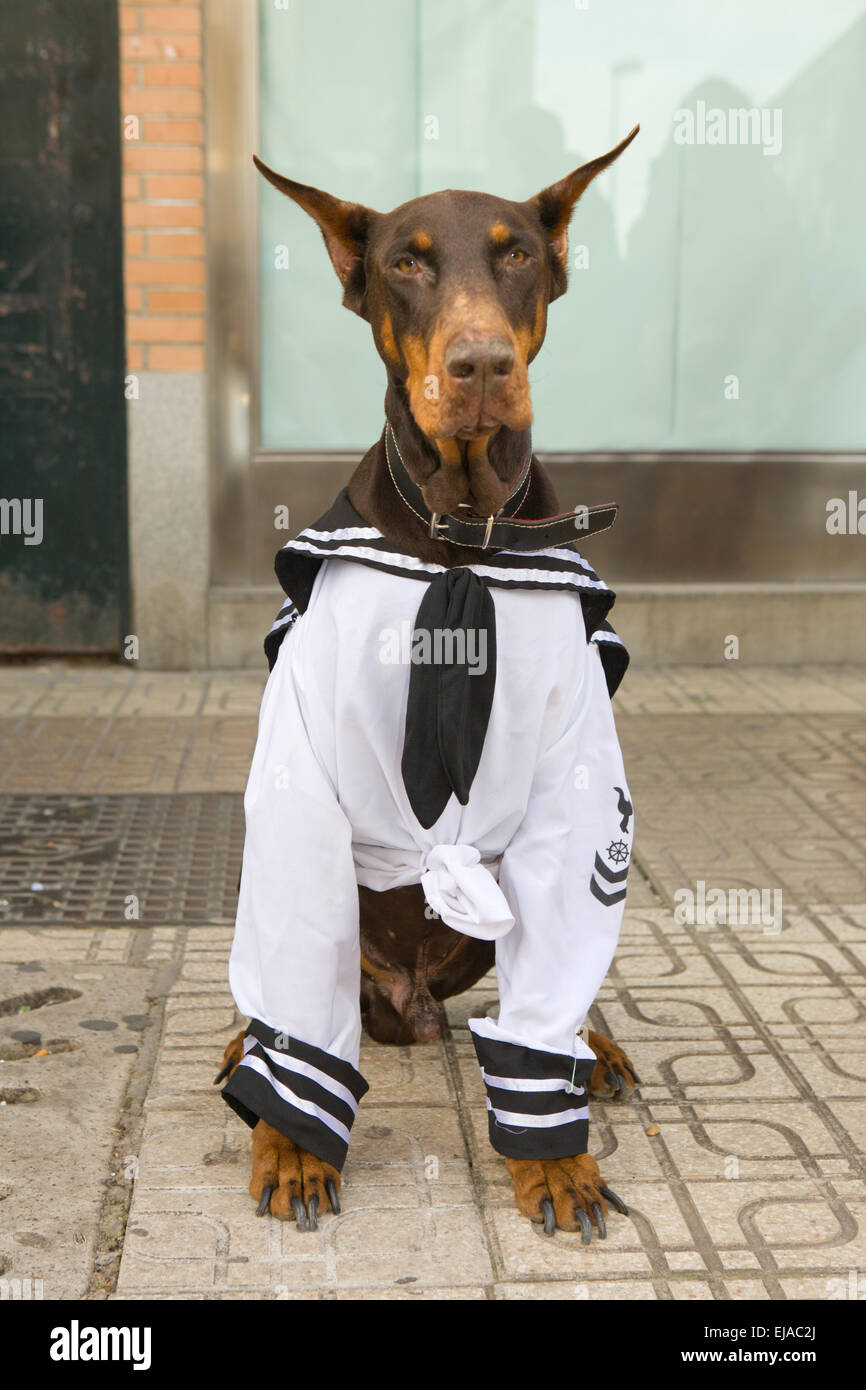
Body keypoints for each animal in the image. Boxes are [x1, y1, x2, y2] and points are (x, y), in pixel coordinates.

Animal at [215, 122, 639, 1239]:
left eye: (516, 253)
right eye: (405, 263)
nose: (480, 363)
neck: (459, 536)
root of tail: (406, 1009)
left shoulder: (578, 770)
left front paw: (555, 1160)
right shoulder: (302, 764)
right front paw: (291, 1140)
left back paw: (597, 1047)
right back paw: (245, 1048)